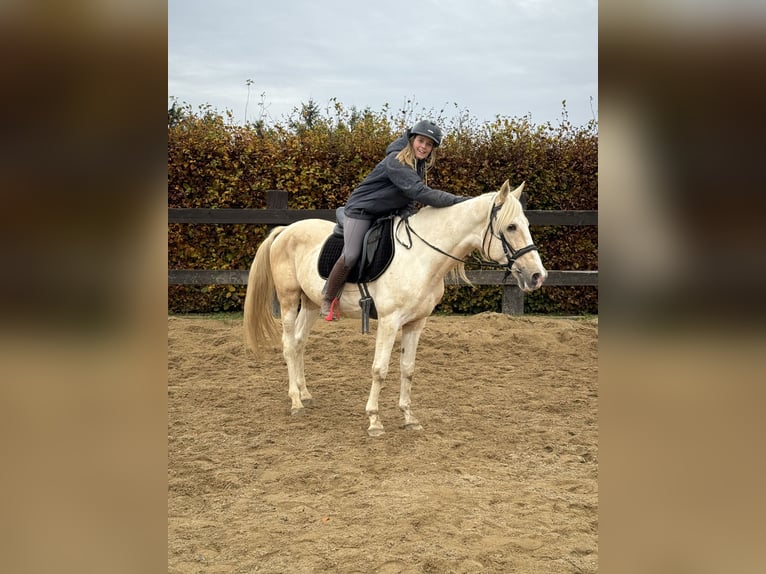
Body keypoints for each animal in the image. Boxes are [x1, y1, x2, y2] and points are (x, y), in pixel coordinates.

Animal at [243, 180, 548, 436]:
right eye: (511, 227)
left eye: (525, 223)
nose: (537, 275)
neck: (421, 257)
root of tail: (285, 230)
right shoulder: (389, 322)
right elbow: (380, 369)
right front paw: (374, 421)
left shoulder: (416, 323)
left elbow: (407, 368)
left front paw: (409, 417)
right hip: (288, 300)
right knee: (288, 345)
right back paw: (295, 400)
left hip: (311, 304)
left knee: (299, 343)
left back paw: (304, 393)